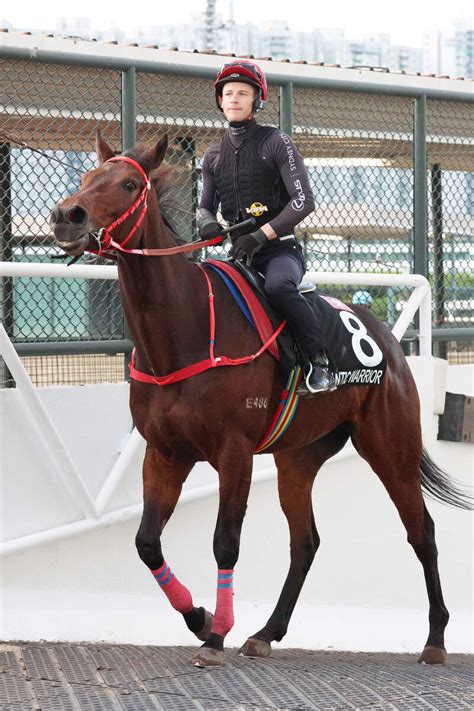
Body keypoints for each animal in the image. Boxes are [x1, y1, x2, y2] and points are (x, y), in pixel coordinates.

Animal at [50, 132, 472, 668]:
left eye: (128, 183)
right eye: (86, 177)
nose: (67, 215)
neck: (186, 327)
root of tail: (386, 340)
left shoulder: (234, 453)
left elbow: (225, 542)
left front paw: (215, 636)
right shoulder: (164, 453)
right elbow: (147, 543)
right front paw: (200, 617)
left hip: (391, 447)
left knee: (423, 533)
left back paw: (435, 638)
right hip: (298, 459)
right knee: (305, 542)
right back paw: (267, 631)